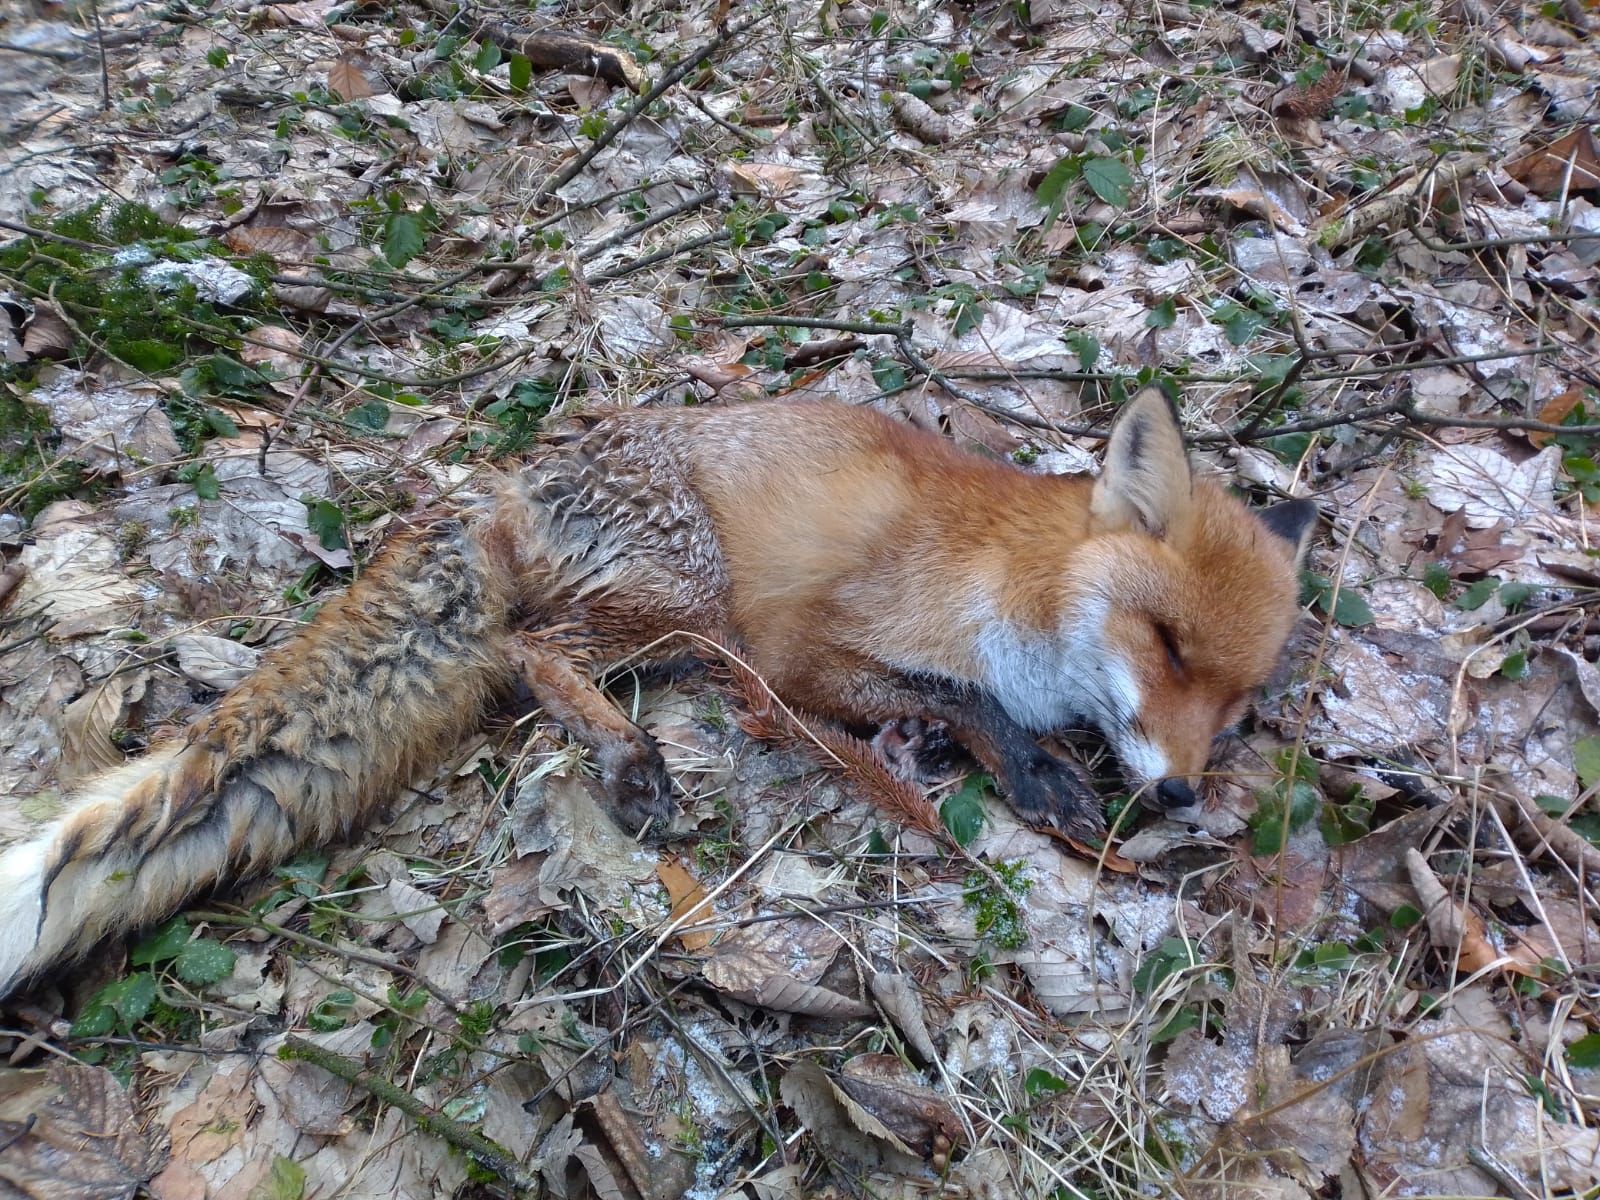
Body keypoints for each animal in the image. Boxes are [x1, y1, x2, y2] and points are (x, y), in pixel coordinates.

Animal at [0, 389, 1315, 997]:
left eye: (1239, 702)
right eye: (1167, 645)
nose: (1183, 796)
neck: (1020, 578)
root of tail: (501, 493)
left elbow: (952, 707)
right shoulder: (803, 645)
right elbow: (969, 701)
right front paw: (1028, 767)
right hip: (696, 600)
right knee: (531, 649)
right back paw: (628, 760)